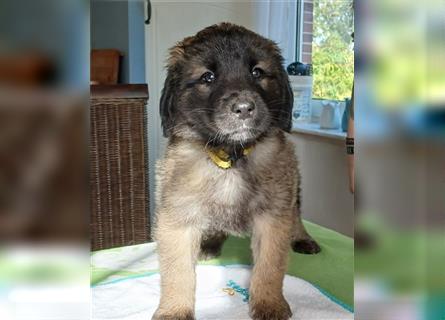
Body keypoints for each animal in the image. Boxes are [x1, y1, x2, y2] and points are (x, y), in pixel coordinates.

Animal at [153, 23, 320, 320]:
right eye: (207, 77)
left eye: (257, 72)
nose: (243, 108)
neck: (231, 157)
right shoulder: (177, 218)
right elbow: (177, 273)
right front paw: (174, 310)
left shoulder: (272, 216)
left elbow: (269, 268)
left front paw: (269, 303)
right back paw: (210, 243)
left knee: (296, 214)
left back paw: (302, 238)